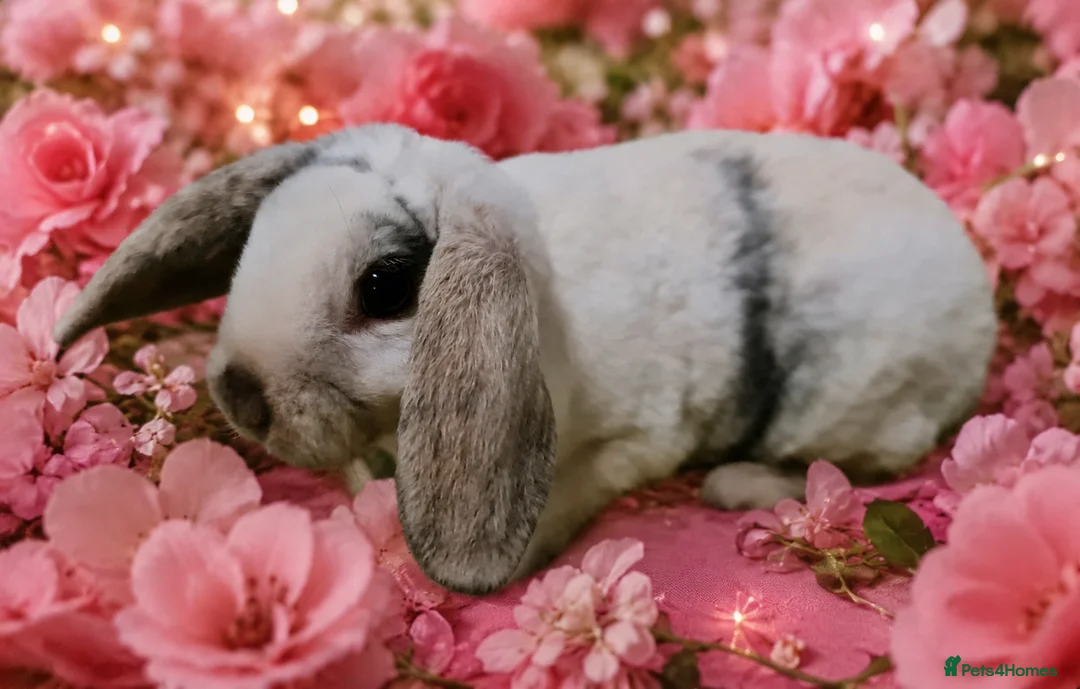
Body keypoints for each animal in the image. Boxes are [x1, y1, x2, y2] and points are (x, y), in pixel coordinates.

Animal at [53, 124, 997, 595]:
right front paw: (363, 481)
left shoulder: (637, 437)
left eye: (386, 285)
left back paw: (742, 484)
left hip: (859, 403)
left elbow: (573, 489)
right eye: (257, 237)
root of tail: (981, 307)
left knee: (871, 463)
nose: (239, 393)